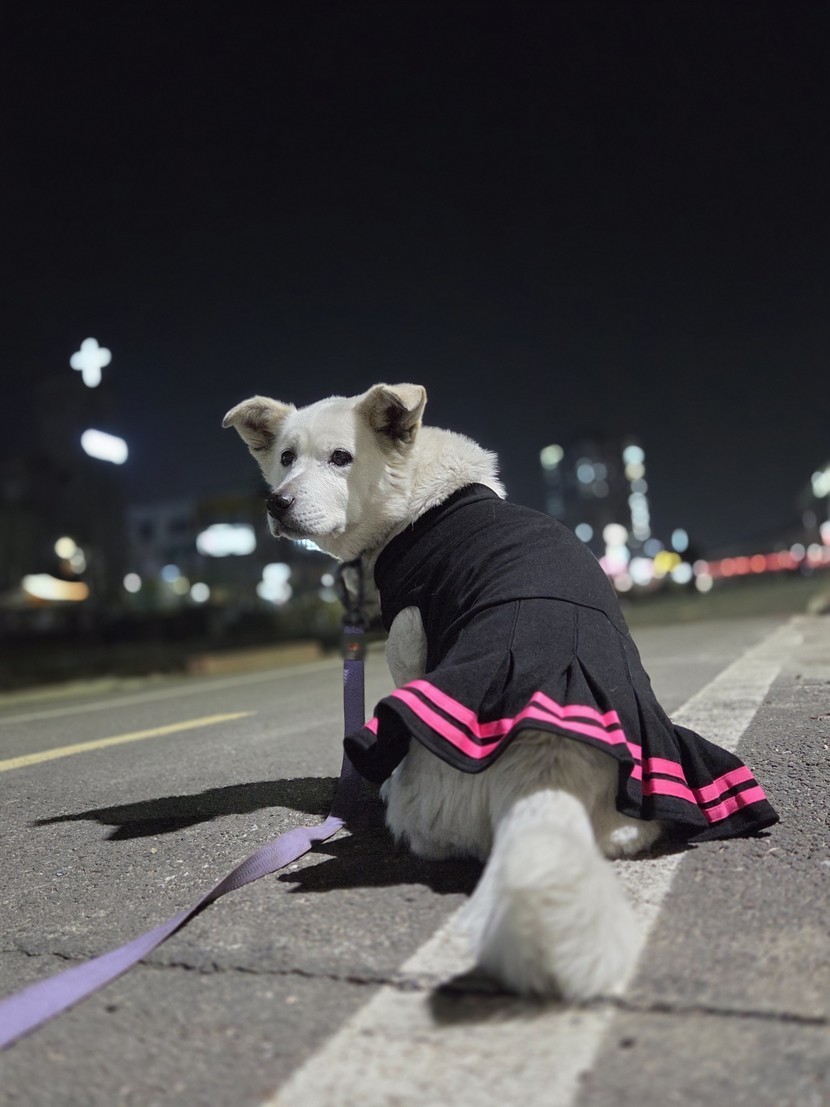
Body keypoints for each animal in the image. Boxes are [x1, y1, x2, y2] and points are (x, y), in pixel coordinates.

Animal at [223, 383, 778, 1000]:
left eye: (341, 458)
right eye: (285, 458)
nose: (276, 505)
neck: (418, 502)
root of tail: (545, 772)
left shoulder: (408, 638)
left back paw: (387, 791)